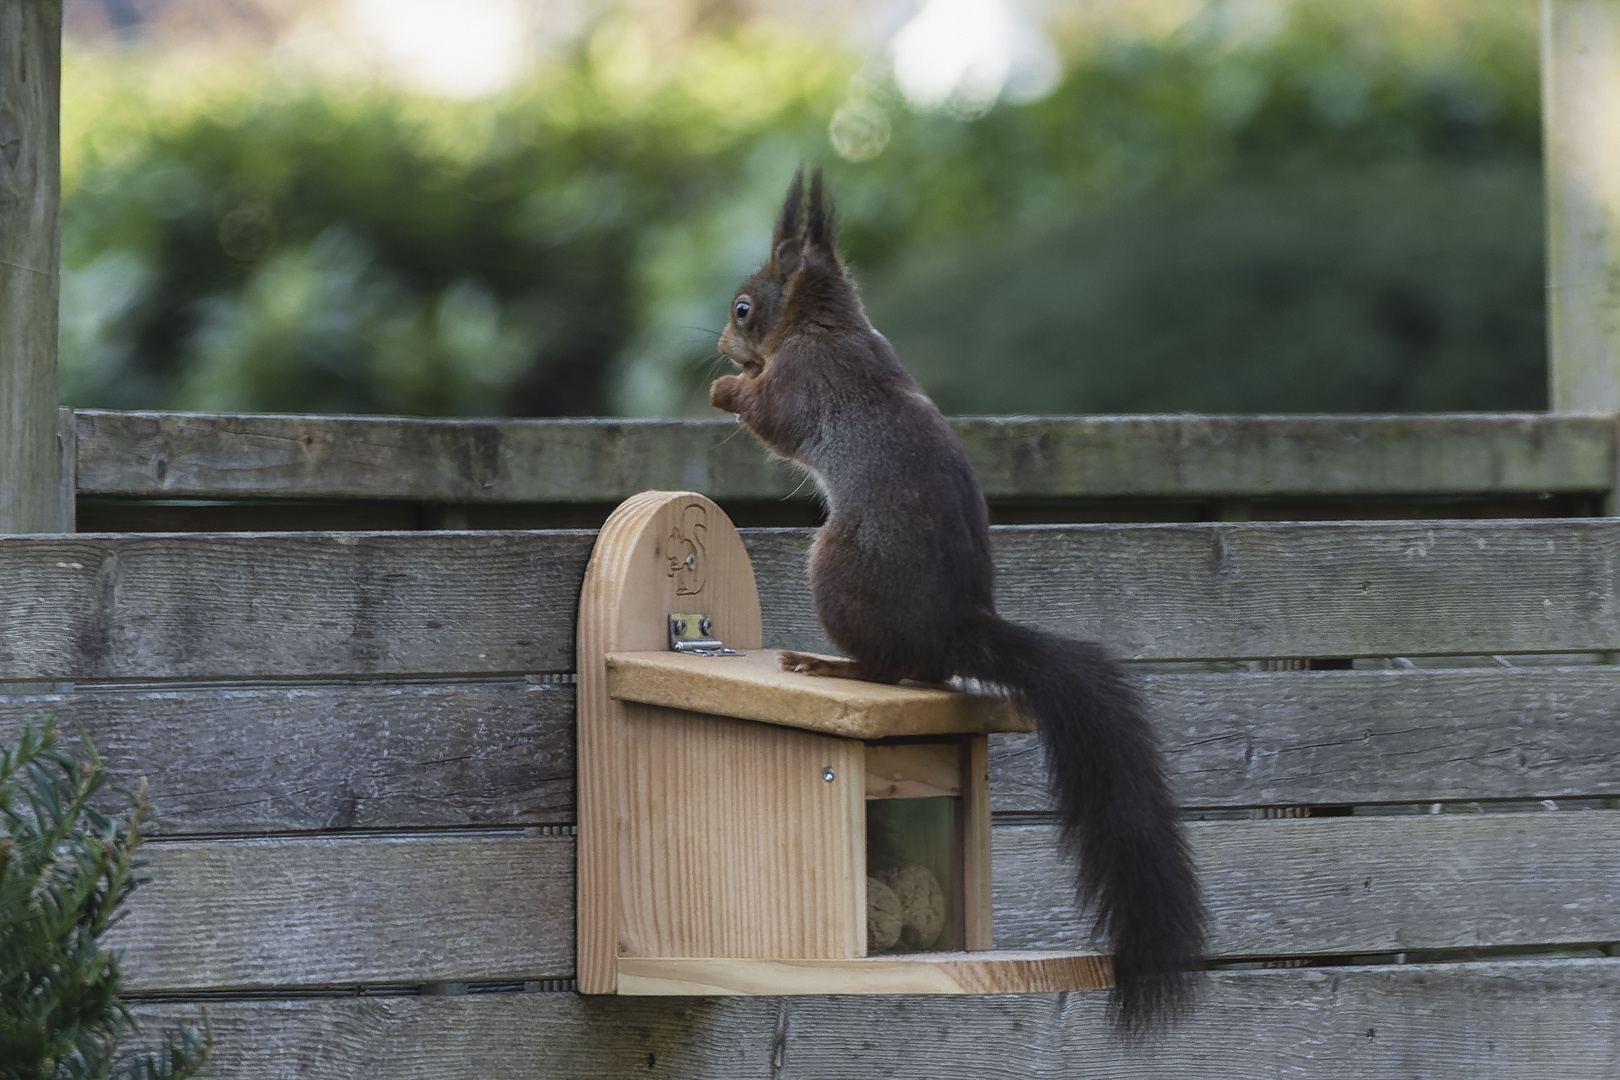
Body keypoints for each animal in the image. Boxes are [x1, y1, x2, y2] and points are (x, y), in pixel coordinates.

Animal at [709, 169, 1205, 1029]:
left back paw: (829, 664)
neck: (829, 323)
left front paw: (726, 386)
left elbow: (772, 418)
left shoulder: (804, 380)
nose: (721, 342)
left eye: (745, 309)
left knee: (892, 671)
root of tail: (958, 627)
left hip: (836, 566)